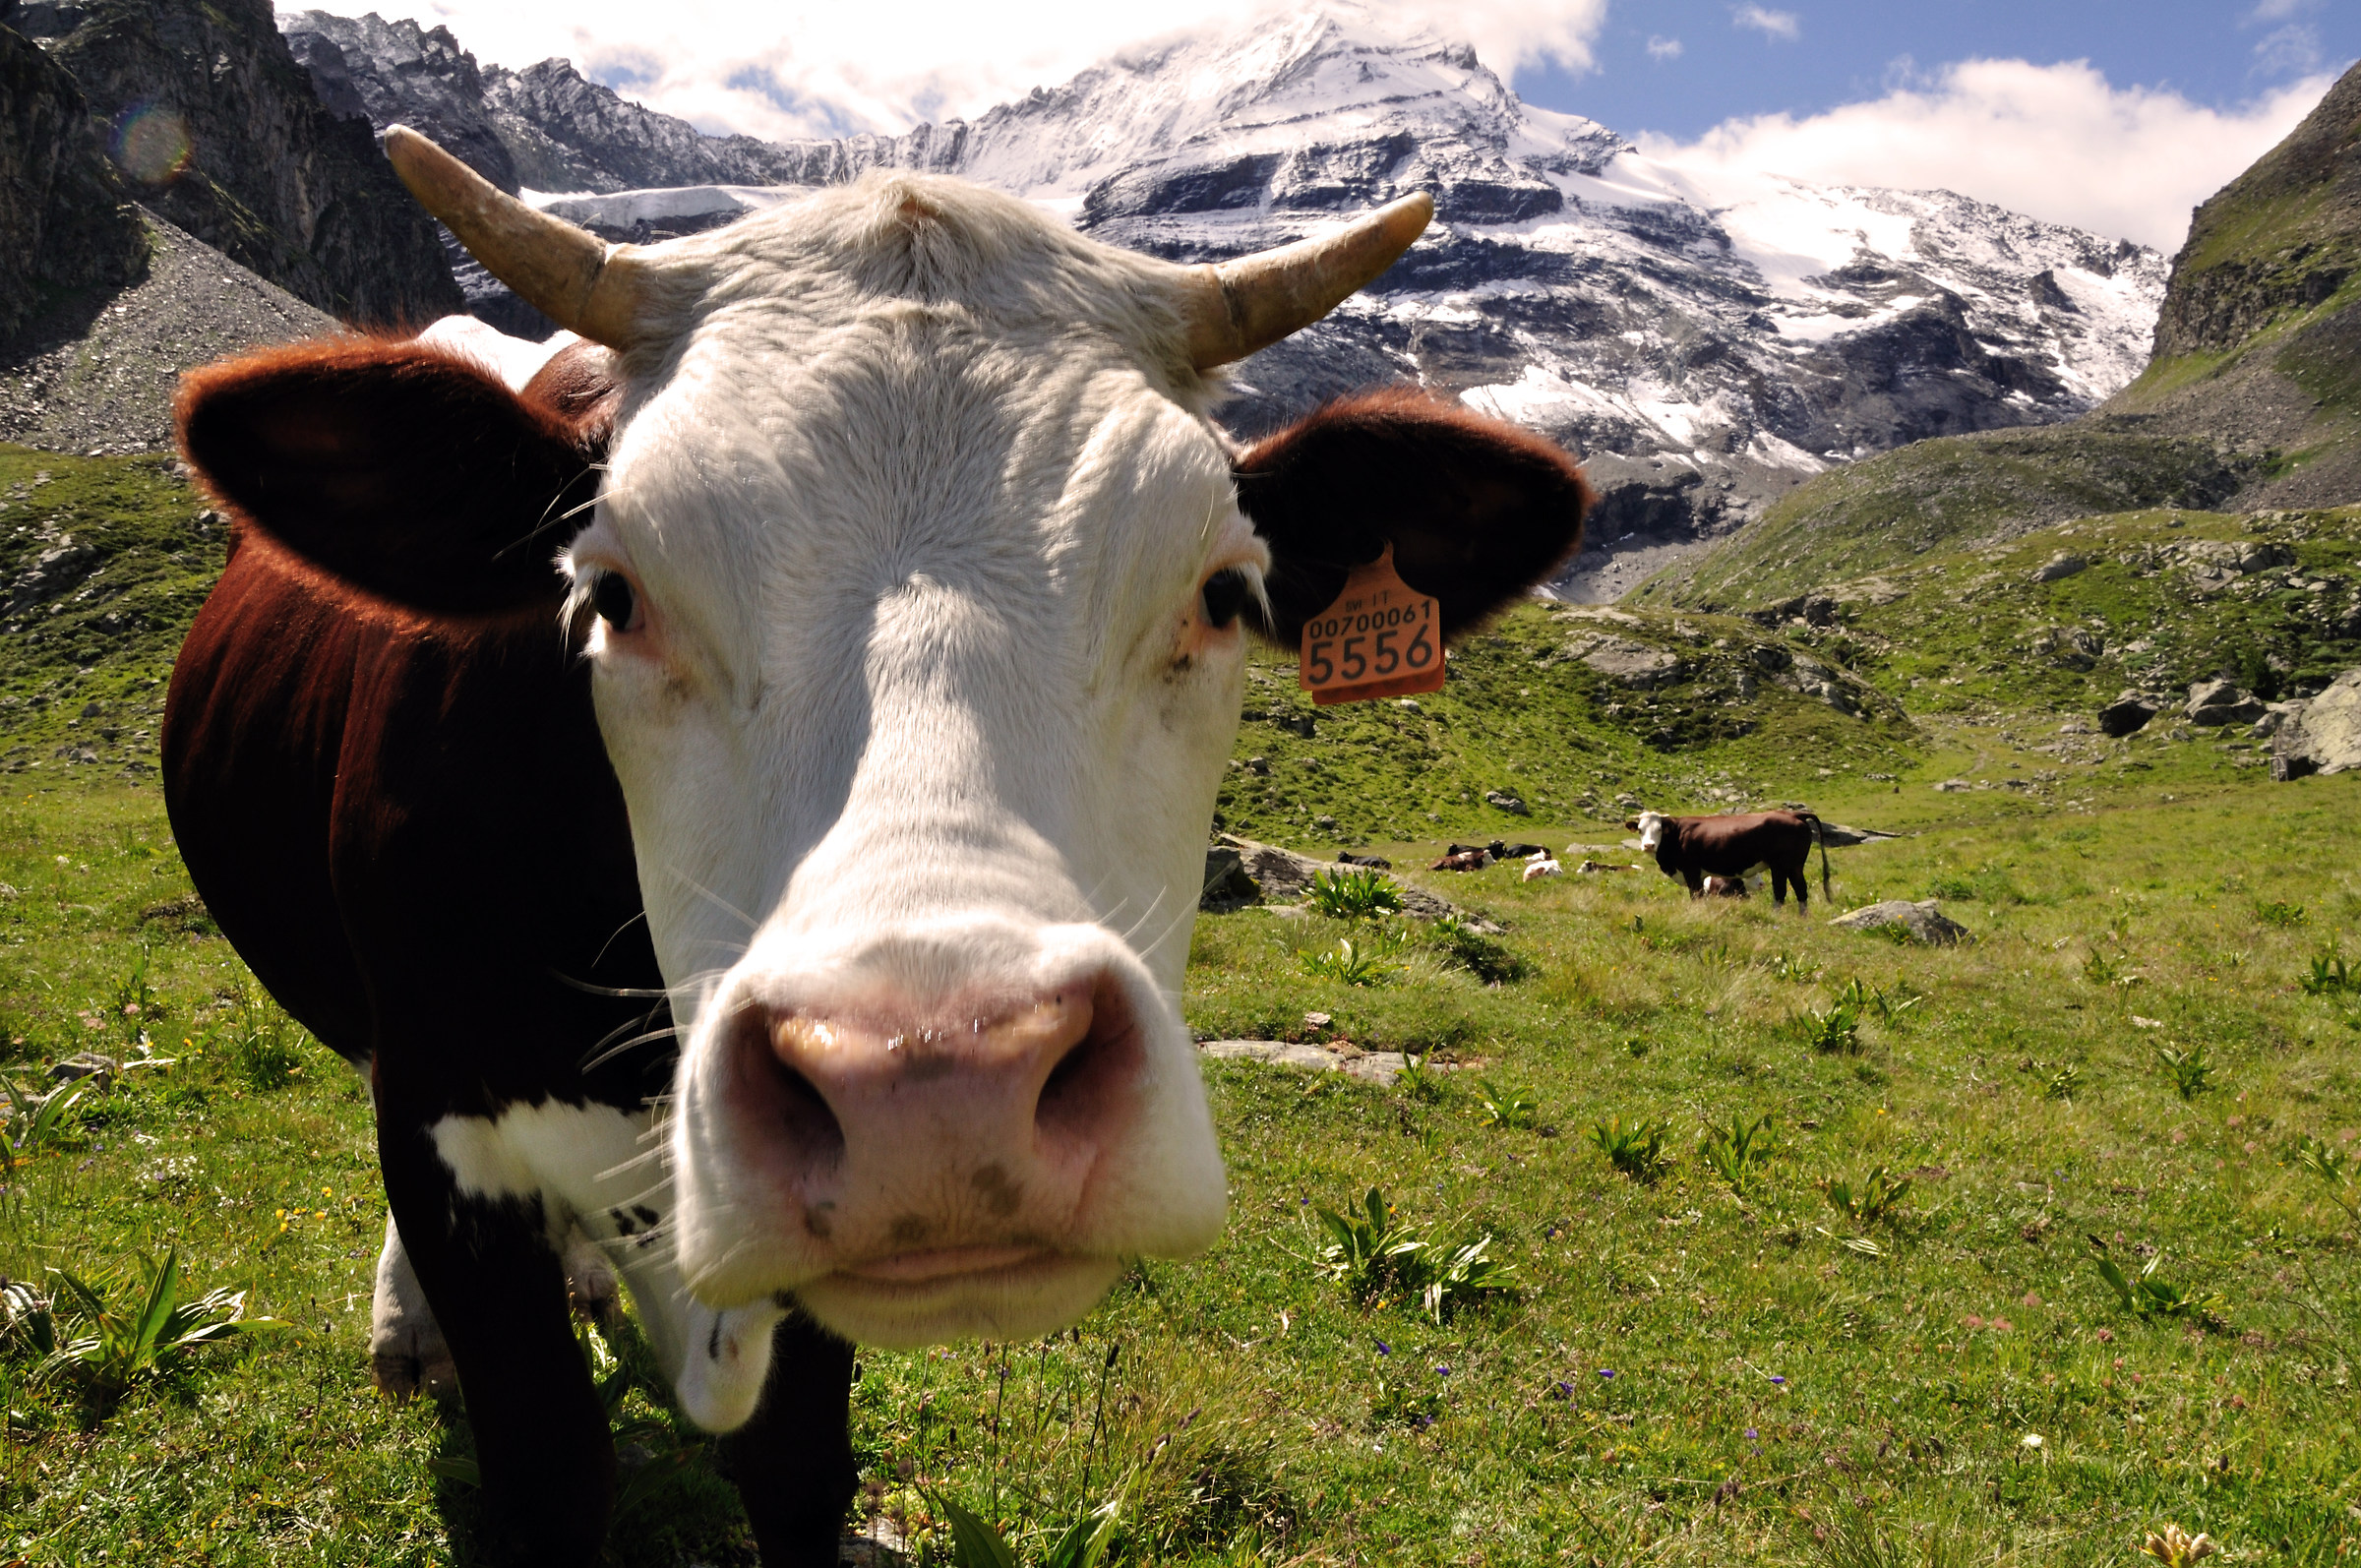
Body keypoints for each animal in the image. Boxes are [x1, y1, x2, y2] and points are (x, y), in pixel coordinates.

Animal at [162, 125, 1590, 1565]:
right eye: (611, 593)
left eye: (1224, 593)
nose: (938, 1089)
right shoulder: (444, 1131)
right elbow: (549, 1470)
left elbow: (799, 1470)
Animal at [1627, 809, 1830, 910]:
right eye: (1640, 830)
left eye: (1659, 829)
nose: (1649, 845)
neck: (1677, 835)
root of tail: (1793, 814)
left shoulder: (1691, 872)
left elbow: (1695, 897)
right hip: (1795, 866)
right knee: (1801, 891)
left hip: (1781, 865)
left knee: (1780, 893)